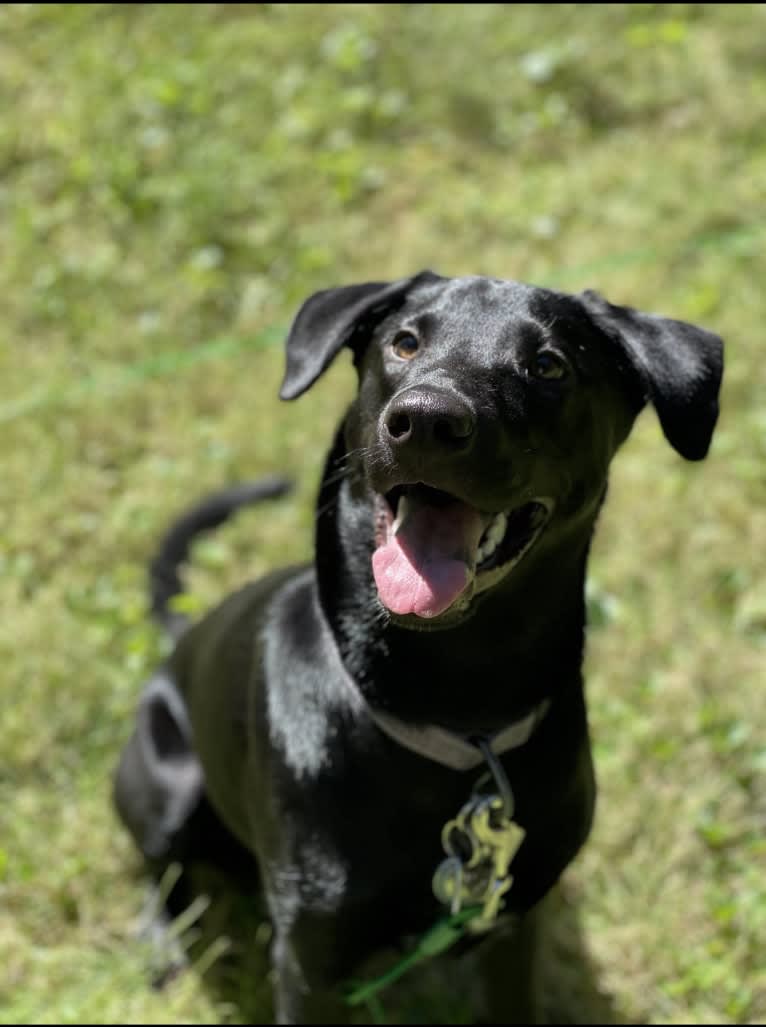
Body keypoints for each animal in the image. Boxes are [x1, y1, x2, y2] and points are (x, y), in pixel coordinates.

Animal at [110, 269, 718, 1022]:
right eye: (404, 342)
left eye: (549, 365)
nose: (427, 419)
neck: (454, 707)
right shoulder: (309, 960)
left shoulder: (513, 919)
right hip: (168, 782)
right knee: (160, 867)